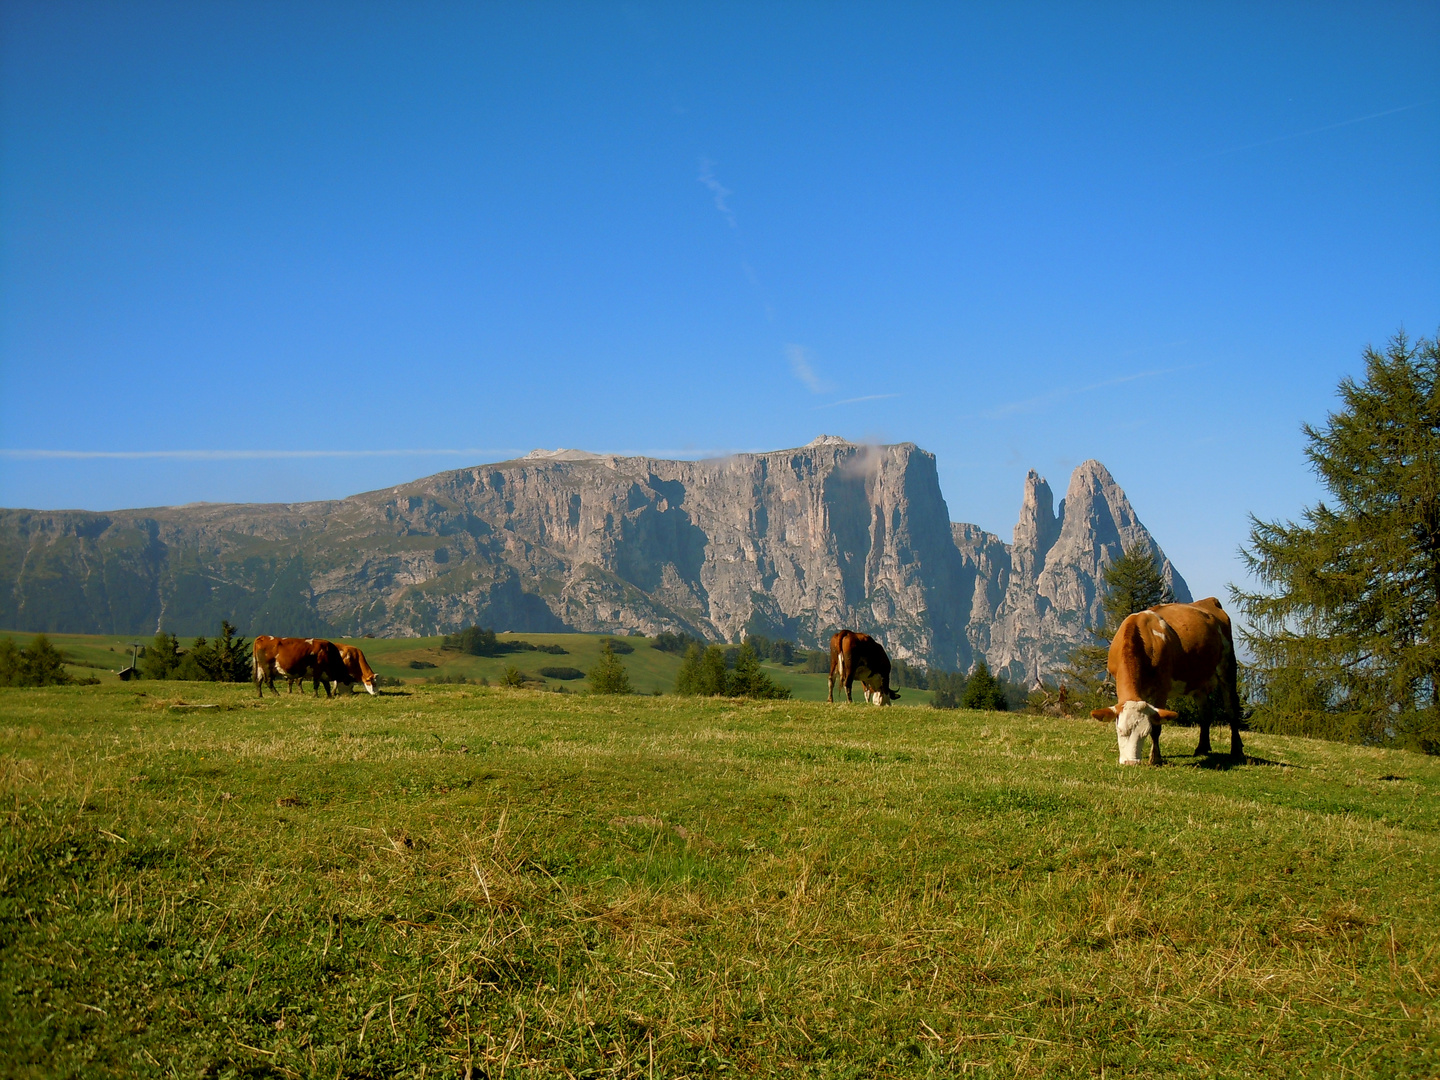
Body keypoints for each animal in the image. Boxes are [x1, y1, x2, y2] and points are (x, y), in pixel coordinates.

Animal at [1082, 596, 1244, 766]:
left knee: (1231, 709)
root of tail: (1209, 601)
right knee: (1205, 712)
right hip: (1199, 682)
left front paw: (1155, 758)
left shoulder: (1161, 689)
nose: (1131, 762)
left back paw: (1237, 751)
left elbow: (1157, 727)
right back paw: (1202, 749)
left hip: (1227, 667)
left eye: (1144, 733)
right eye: (1120, 730)